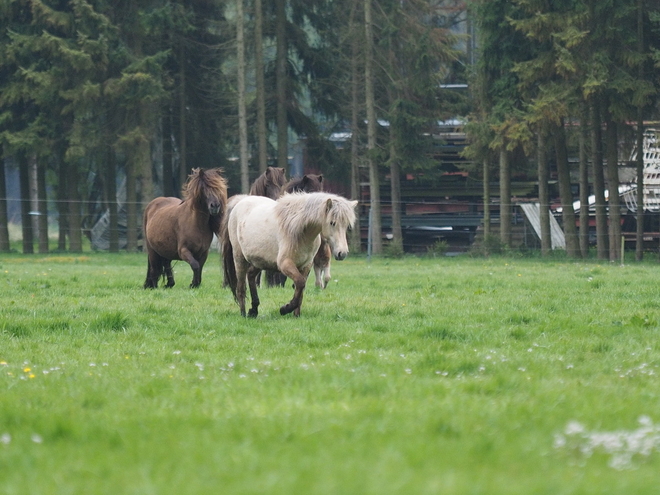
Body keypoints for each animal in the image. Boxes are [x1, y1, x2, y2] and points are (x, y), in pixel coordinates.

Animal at [220, 193, 356, 318]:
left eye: (346, 225)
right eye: (332, 223)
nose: (342, 253)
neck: (301, 232)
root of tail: (239, 202)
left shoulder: (306, 265)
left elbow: (300, 288)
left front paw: (296, 314)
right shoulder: (285, 264)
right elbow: (300, 283)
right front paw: (285, 309)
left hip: (260, 261)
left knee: (251, 275)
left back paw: (253, 310)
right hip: (239, 259)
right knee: (241, 288)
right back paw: (243, 314)